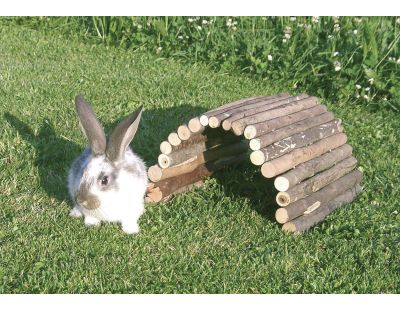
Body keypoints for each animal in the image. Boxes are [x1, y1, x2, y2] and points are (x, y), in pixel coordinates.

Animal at [67, 95, 148, 234]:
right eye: (83, 173)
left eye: (104, 180)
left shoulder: (134, 208)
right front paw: (92, 224)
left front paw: (131, 231)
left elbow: (129, 220)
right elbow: (90, 217)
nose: (81, 200)